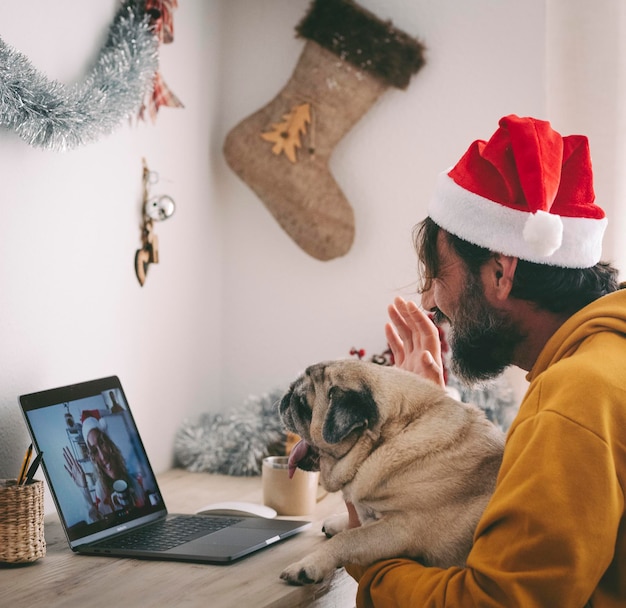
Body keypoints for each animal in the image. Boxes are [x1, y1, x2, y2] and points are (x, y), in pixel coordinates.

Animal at [278, 360, 502, 584]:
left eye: (302, 402)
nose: (286, 396)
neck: (394, 432)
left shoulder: (401, 528)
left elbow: (349, 538)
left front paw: (308, 565)